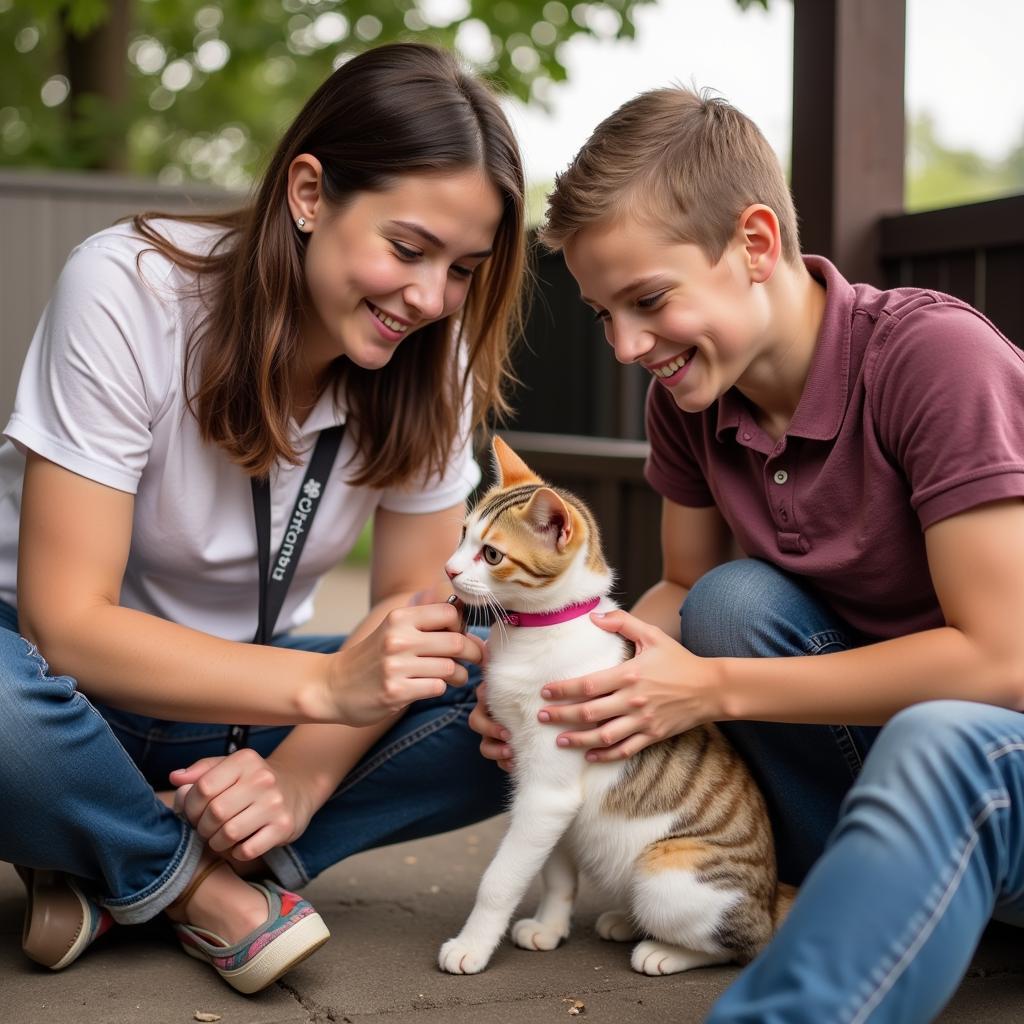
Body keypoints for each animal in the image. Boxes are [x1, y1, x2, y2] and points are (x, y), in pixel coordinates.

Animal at [438, 434, 790, 974]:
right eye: (462, 535)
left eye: (492, 554)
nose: (450, 569)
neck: (537, 632)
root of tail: (770, 899)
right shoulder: (536, 791)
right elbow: (556, 872)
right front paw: (550, 927)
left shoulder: (547, 789)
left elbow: (500, 879)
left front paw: (472, 946)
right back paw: (626, 922)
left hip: (667, 873)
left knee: (741, 945)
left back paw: (663, 950)